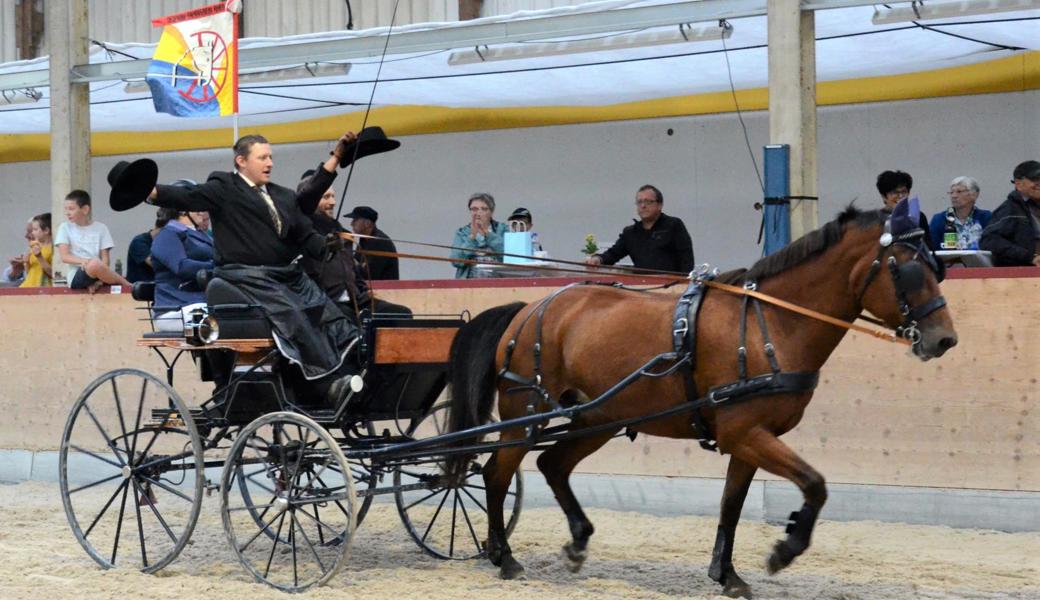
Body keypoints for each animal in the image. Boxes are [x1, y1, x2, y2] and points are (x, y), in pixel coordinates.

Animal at [443, 202, 952, 598]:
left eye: (937, 265)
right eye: (907, 269)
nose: (944, 339)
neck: (769, 325)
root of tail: (528, 309)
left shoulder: (747, 439)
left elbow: (732, 505)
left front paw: (727, 575)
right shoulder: (745, 433)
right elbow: (815, 484)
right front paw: (783, 550)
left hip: (597, 417)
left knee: (552, 465)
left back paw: (576, 543)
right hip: (525, 414)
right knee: (496, 473)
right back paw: (503, 556)